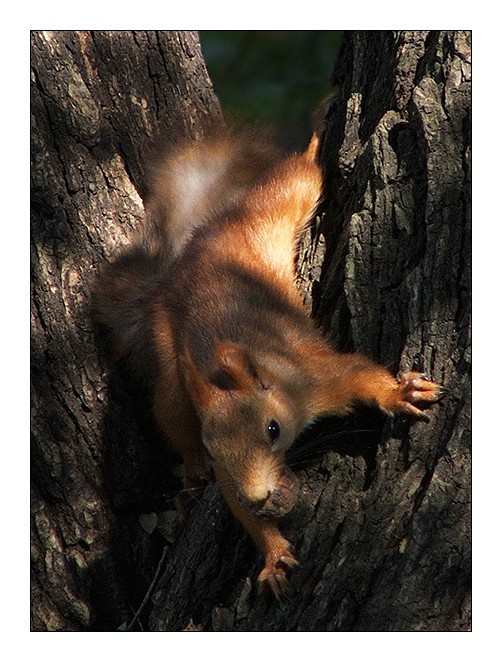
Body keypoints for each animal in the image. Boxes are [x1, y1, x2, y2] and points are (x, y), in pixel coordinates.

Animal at [93, 122, 442, 598]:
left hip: (274, 208)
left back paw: (313, 144)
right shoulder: (226, 470)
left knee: (296, 178)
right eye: (216, 449)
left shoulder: (319, 377)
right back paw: (189, 477)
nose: (259, 496)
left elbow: (360, 374)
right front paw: (273, 555)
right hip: (169, 367)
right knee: (172, 415)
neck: (276, 380)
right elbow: (236, 505)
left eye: (272, 430)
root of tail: (192, 248)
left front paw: (399, 392)